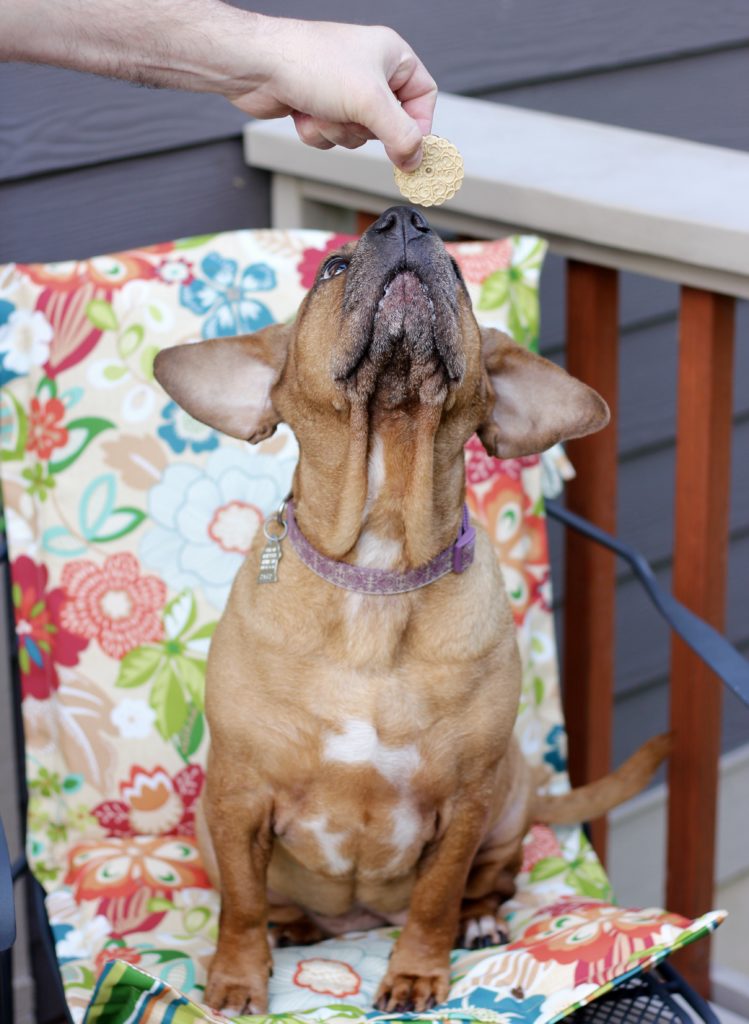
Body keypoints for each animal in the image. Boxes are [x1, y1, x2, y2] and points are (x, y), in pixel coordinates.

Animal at [155, 207, 672, 1015]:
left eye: (459, 272)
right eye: (332, 268)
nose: (404, 218)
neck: (379, 561)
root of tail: (358, 921)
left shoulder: (463, 806)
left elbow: (435, 897)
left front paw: (418, 972)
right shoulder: (238, 800)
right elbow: (238, 904)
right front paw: (238, 976)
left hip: (509, 803)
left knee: (487, 885)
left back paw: (480, 922)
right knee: (269, 901)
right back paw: (291, 925)